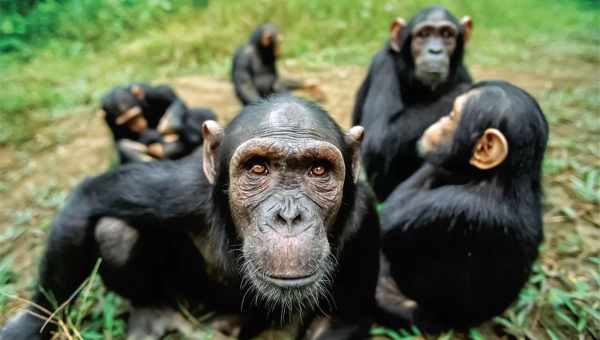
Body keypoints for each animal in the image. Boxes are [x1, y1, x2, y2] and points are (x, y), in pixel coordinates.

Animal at [1, 95, 380, 340]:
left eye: (318, 170)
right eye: (258, 168)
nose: (289, 216)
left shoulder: (364, 217)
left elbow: (342, 320)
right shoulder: (179, 190)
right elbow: (91, 198)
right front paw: (29, 325)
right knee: (113, 231)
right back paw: (152, 311)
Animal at [352, 5, 474, 201]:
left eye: (447, 34)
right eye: (424, 34)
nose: (435, 50)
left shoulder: (463, 71)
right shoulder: (383, 66)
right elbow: (379, 138)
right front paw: (465, 91)